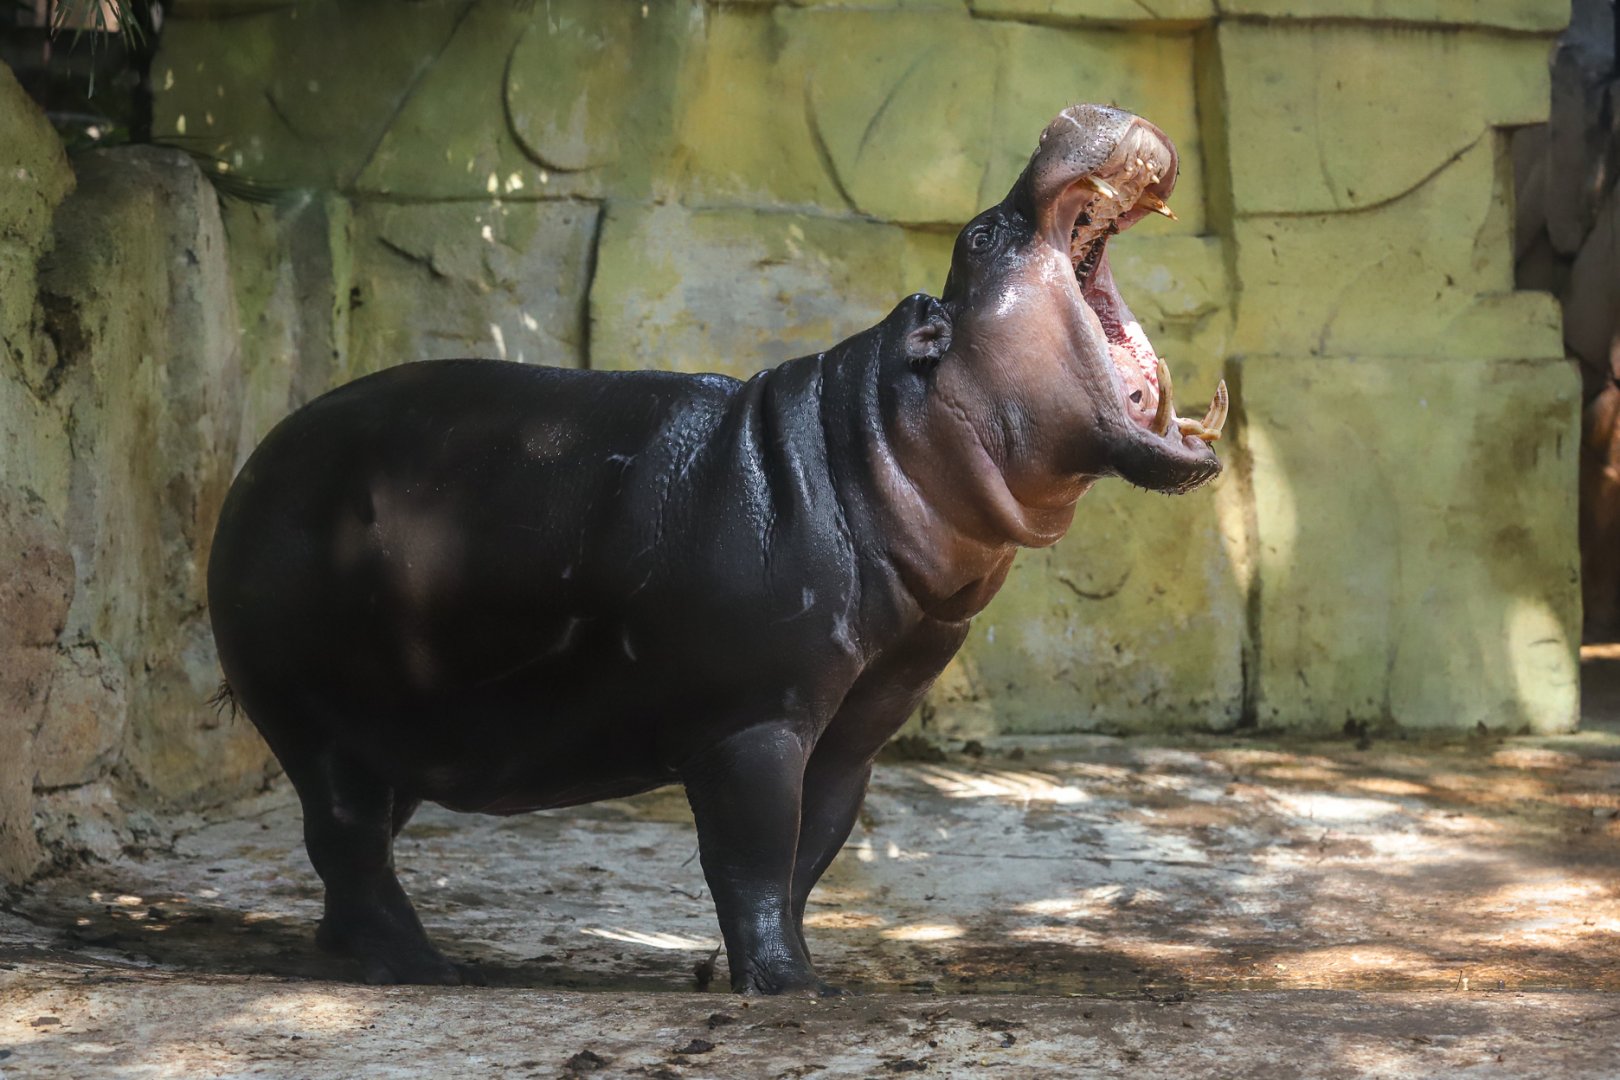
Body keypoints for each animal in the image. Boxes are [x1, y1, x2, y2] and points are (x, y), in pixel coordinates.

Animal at [206, 104, 1227, 995]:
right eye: (977, 235)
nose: (1068, 112)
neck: (881, 442)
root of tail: (255, 464)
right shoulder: (754, 723)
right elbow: (752, 855)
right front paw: (792, 990)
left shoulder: (852, 735)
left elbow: (807, 859)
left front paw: (774, 971)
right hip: (316, 714)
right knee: (346, 839)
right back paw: (426, 969)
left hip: (398, 722)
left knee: (359, 844)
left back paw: (368, 955)